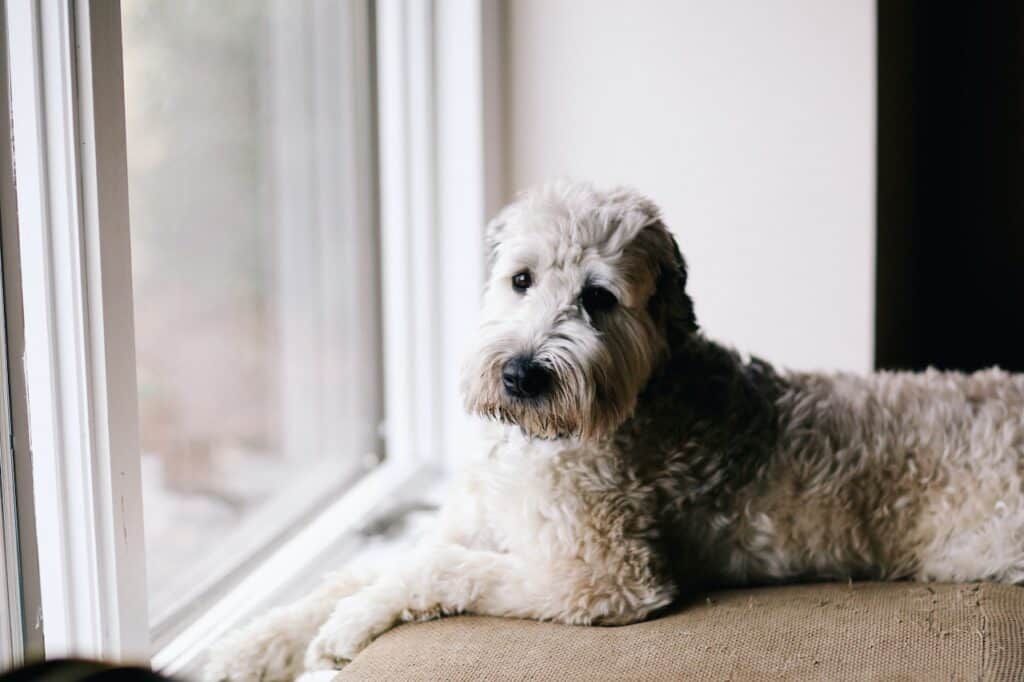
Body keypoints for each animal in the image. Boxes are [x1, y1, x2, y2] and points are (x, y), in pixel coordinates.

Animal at [203, 180, 1024, 679]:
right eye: (522, 280)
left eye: (598, 298)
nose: (522, 374)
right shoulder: (476, 523)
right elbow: (362, 568)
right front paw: (253, 645)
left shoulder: (600, 578)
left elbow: (435, 570)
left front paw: (346, 627)